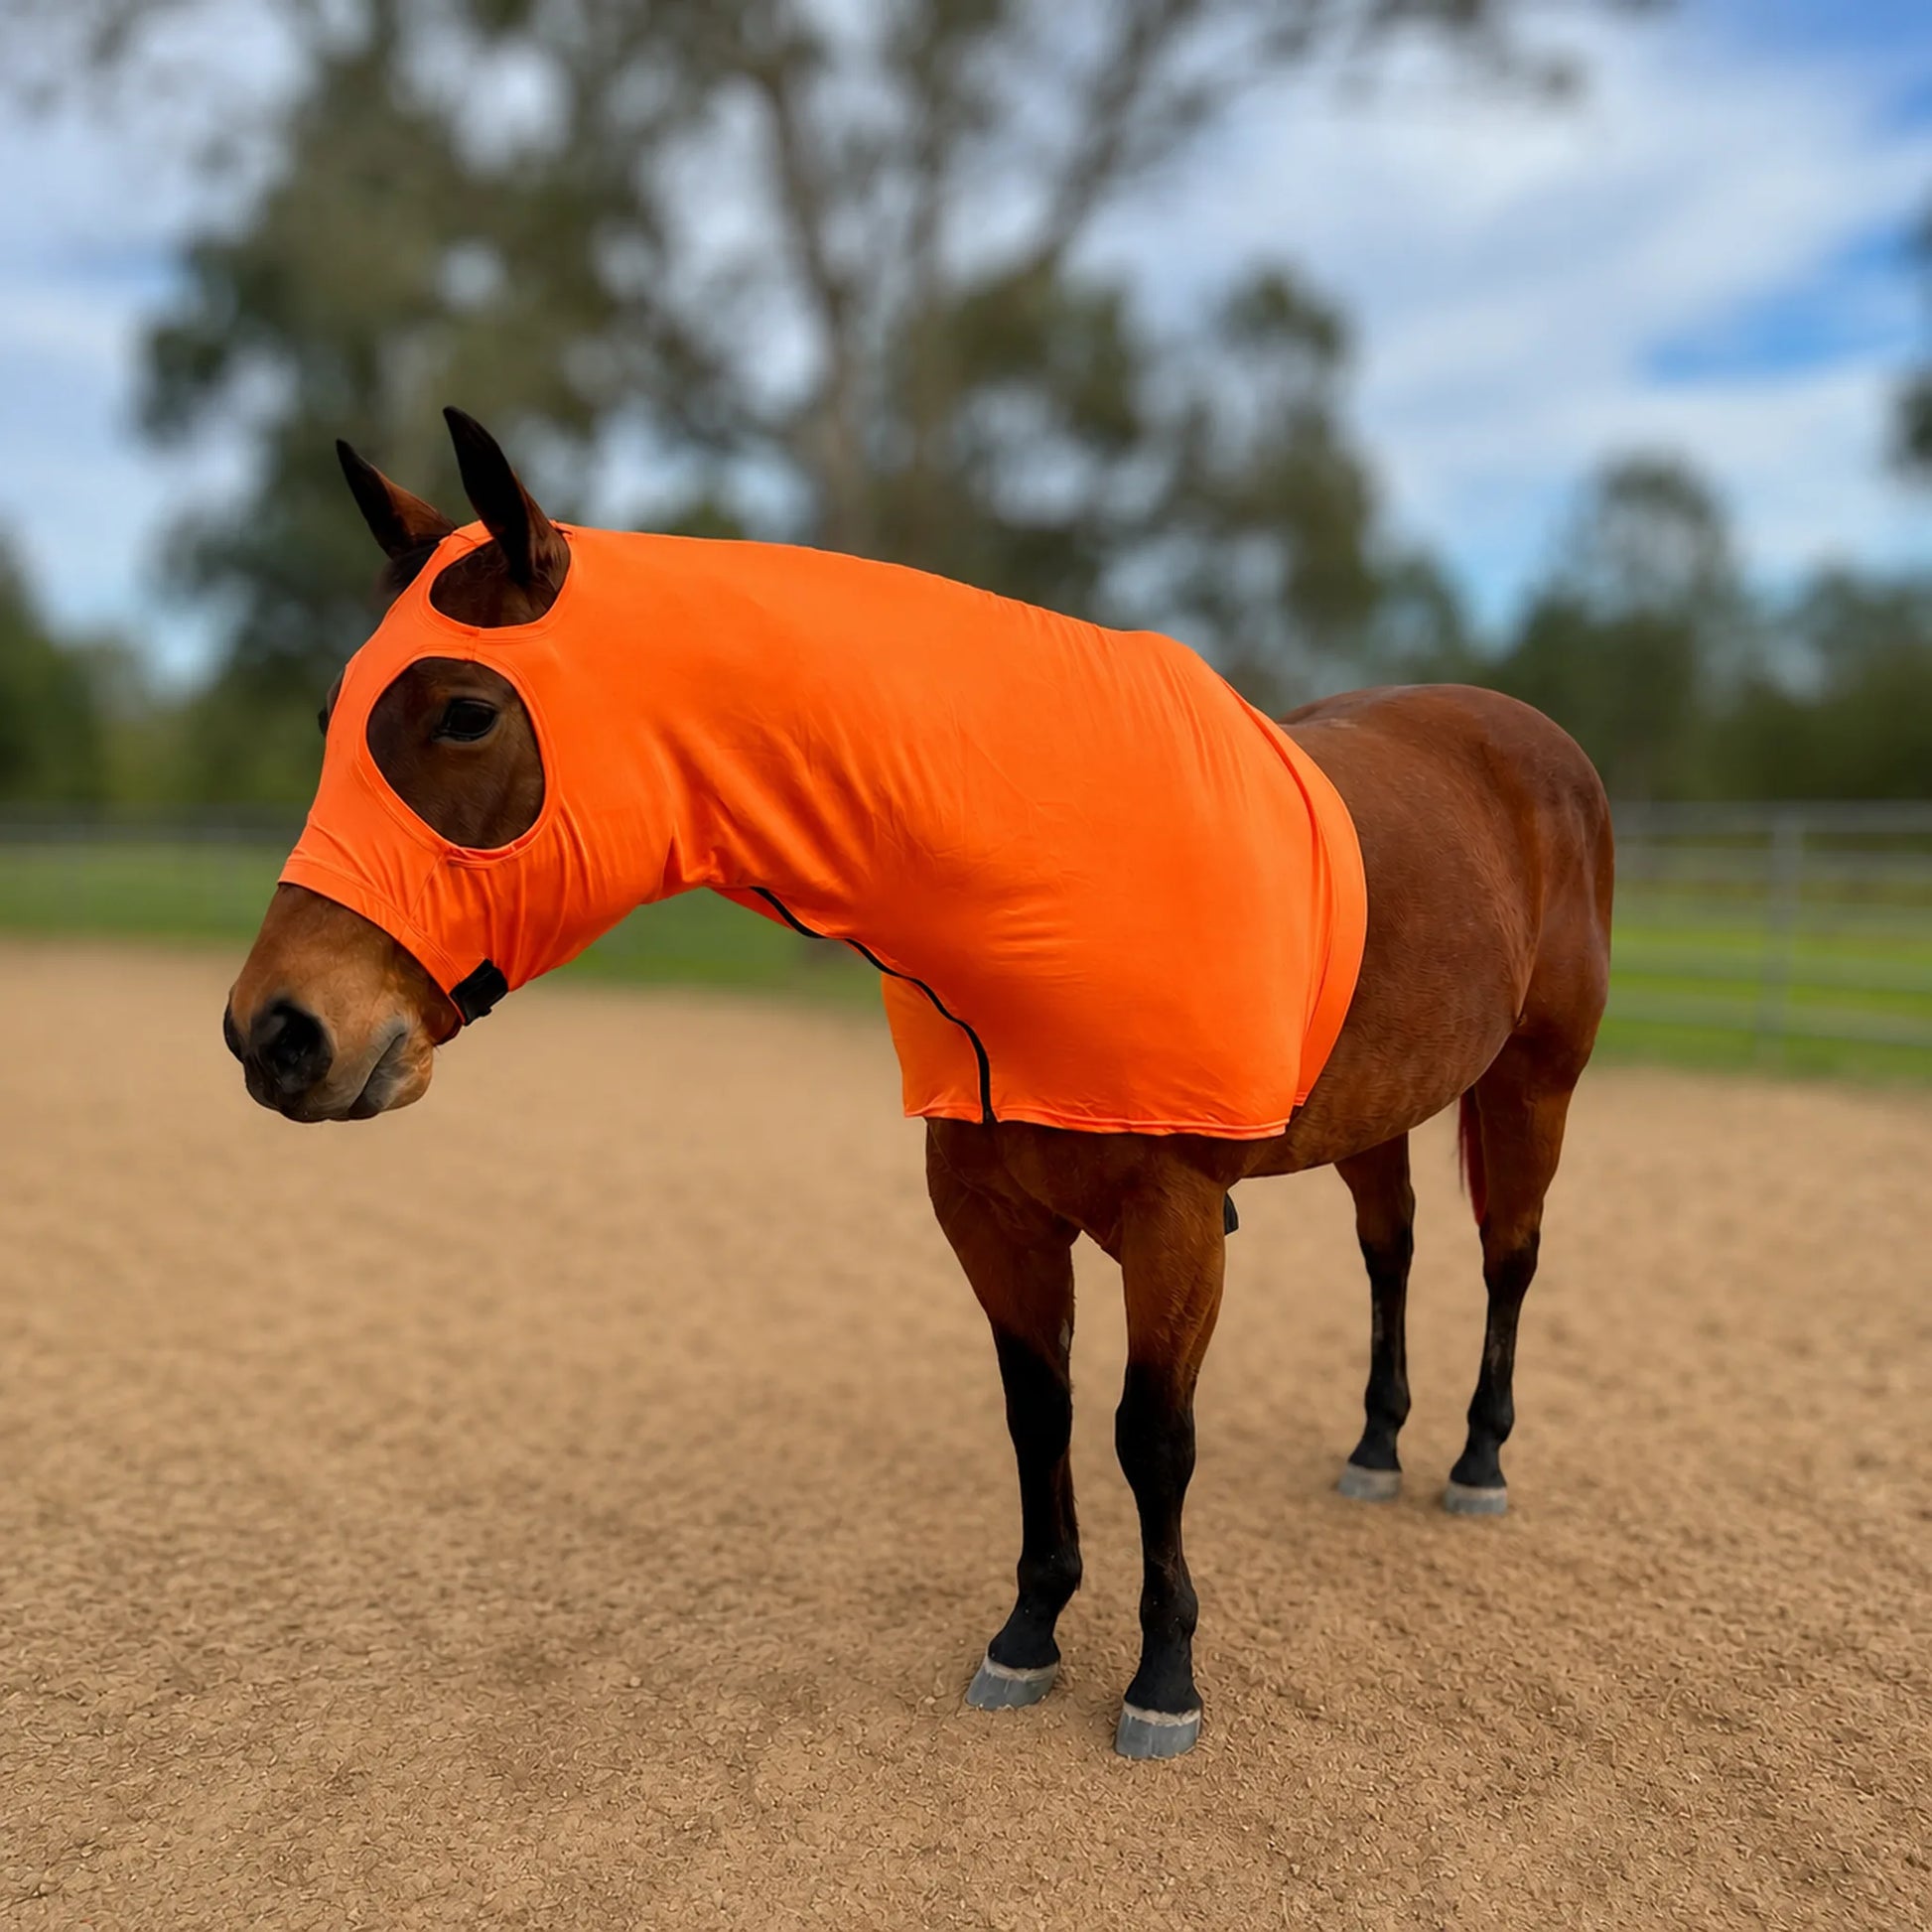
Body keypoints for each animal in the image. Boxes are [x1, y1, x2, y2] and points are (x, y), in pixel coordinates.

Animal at [226, 408, 1614, 1760]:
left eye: (465, 711)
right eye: (331, 724)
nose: (275, 1032)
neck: (1040, 867)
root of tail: (1527, 738)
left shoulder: (1172, 1222)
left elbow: (1149, 1436)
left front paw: (1163, 1676)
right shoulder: (990, 1215)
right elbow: (1037, 1413)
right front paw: (1028, 1633)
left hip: (1532, 1085)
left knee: (1508, 1254)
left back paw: (1474, 1460)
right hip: (1382, 1104)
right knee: (1392, 1247)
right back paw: (1376, 1444)